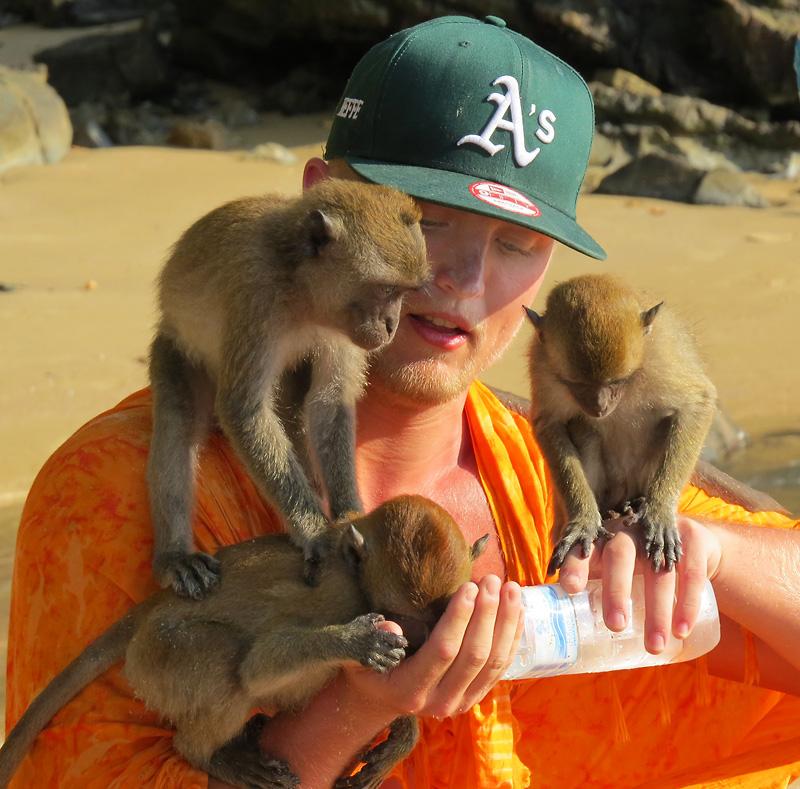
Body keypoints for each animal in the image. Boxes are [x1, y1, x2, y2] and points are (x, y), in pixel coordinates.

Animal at [0, 494, 489, 789]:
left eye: (436, 621)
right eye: (404, 619)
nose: (422, 646)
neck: (354, 567)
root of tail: (157, 603)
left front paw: (402, 736)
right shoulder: (335, 596)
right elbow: (258, 666)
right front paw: (356, 642)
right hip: (158, 655)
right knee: (224, 663)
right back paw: (208, 755)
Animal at [147, 178, 430, 598]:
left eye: (404, 291)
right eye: (385, 289)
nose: (391, 325)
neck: (302, 290)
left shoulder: (340, 327)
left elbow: (330, 403)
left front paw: (349, 513)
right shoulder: (256, 296)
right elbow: (243, 410)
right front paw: (316, 532)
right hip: (175, 348)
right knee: (178, 422)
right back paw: (175, 557)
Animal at [525, 273, 717, 574]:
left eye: (615, 382)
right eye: (577, 384)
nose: (599, 407)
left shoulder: (662, 352)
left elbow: (698, 403)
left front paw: (659, 510)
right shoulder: (543, 366)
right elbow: (550, 424)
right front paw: (584, 518)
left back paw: (636, 504)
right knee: (583, 428)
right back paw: (608, 510)